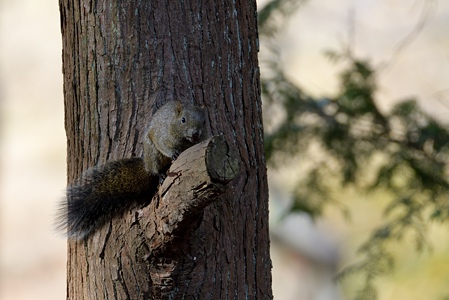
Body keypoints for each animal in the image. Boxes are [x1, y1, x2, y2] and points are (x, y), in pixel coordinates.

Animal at [54, 102, 206, 240]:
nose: (195, 133)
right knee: (155, 168)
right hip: (152, 155)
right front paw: (174, 153)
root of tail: (146, 165)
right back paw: (161, 175)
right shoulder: (163, 135)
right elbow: (164, 145)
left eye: (203, 120)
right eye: (183, 120)